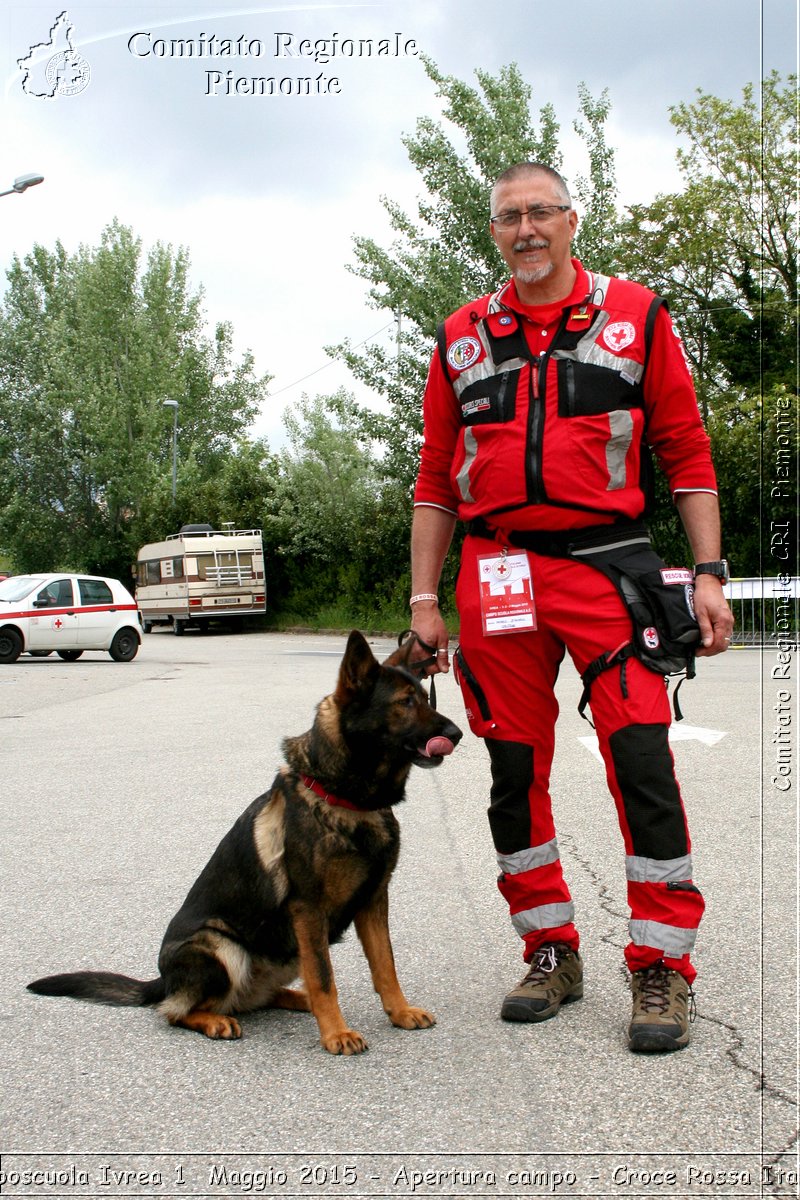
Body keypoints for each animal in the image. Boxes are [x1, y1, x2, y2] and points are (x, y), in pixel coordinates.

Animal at [28, 633, 462, 1056]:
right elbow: (325, 977)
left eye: (425, 698)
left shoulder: (372, 901)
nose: (457, 735)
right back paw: (217, 1020)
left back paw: (296, 1001)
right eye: (405, 703)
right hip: (222, 947)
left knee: (258, 997)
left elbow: (385, 965)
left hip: (288, 952)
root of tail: (163, 980)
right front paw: (336, 1033)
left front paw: (399, 1011)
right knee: (177, 1011)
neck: (346, 799)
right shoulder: (309, 909)